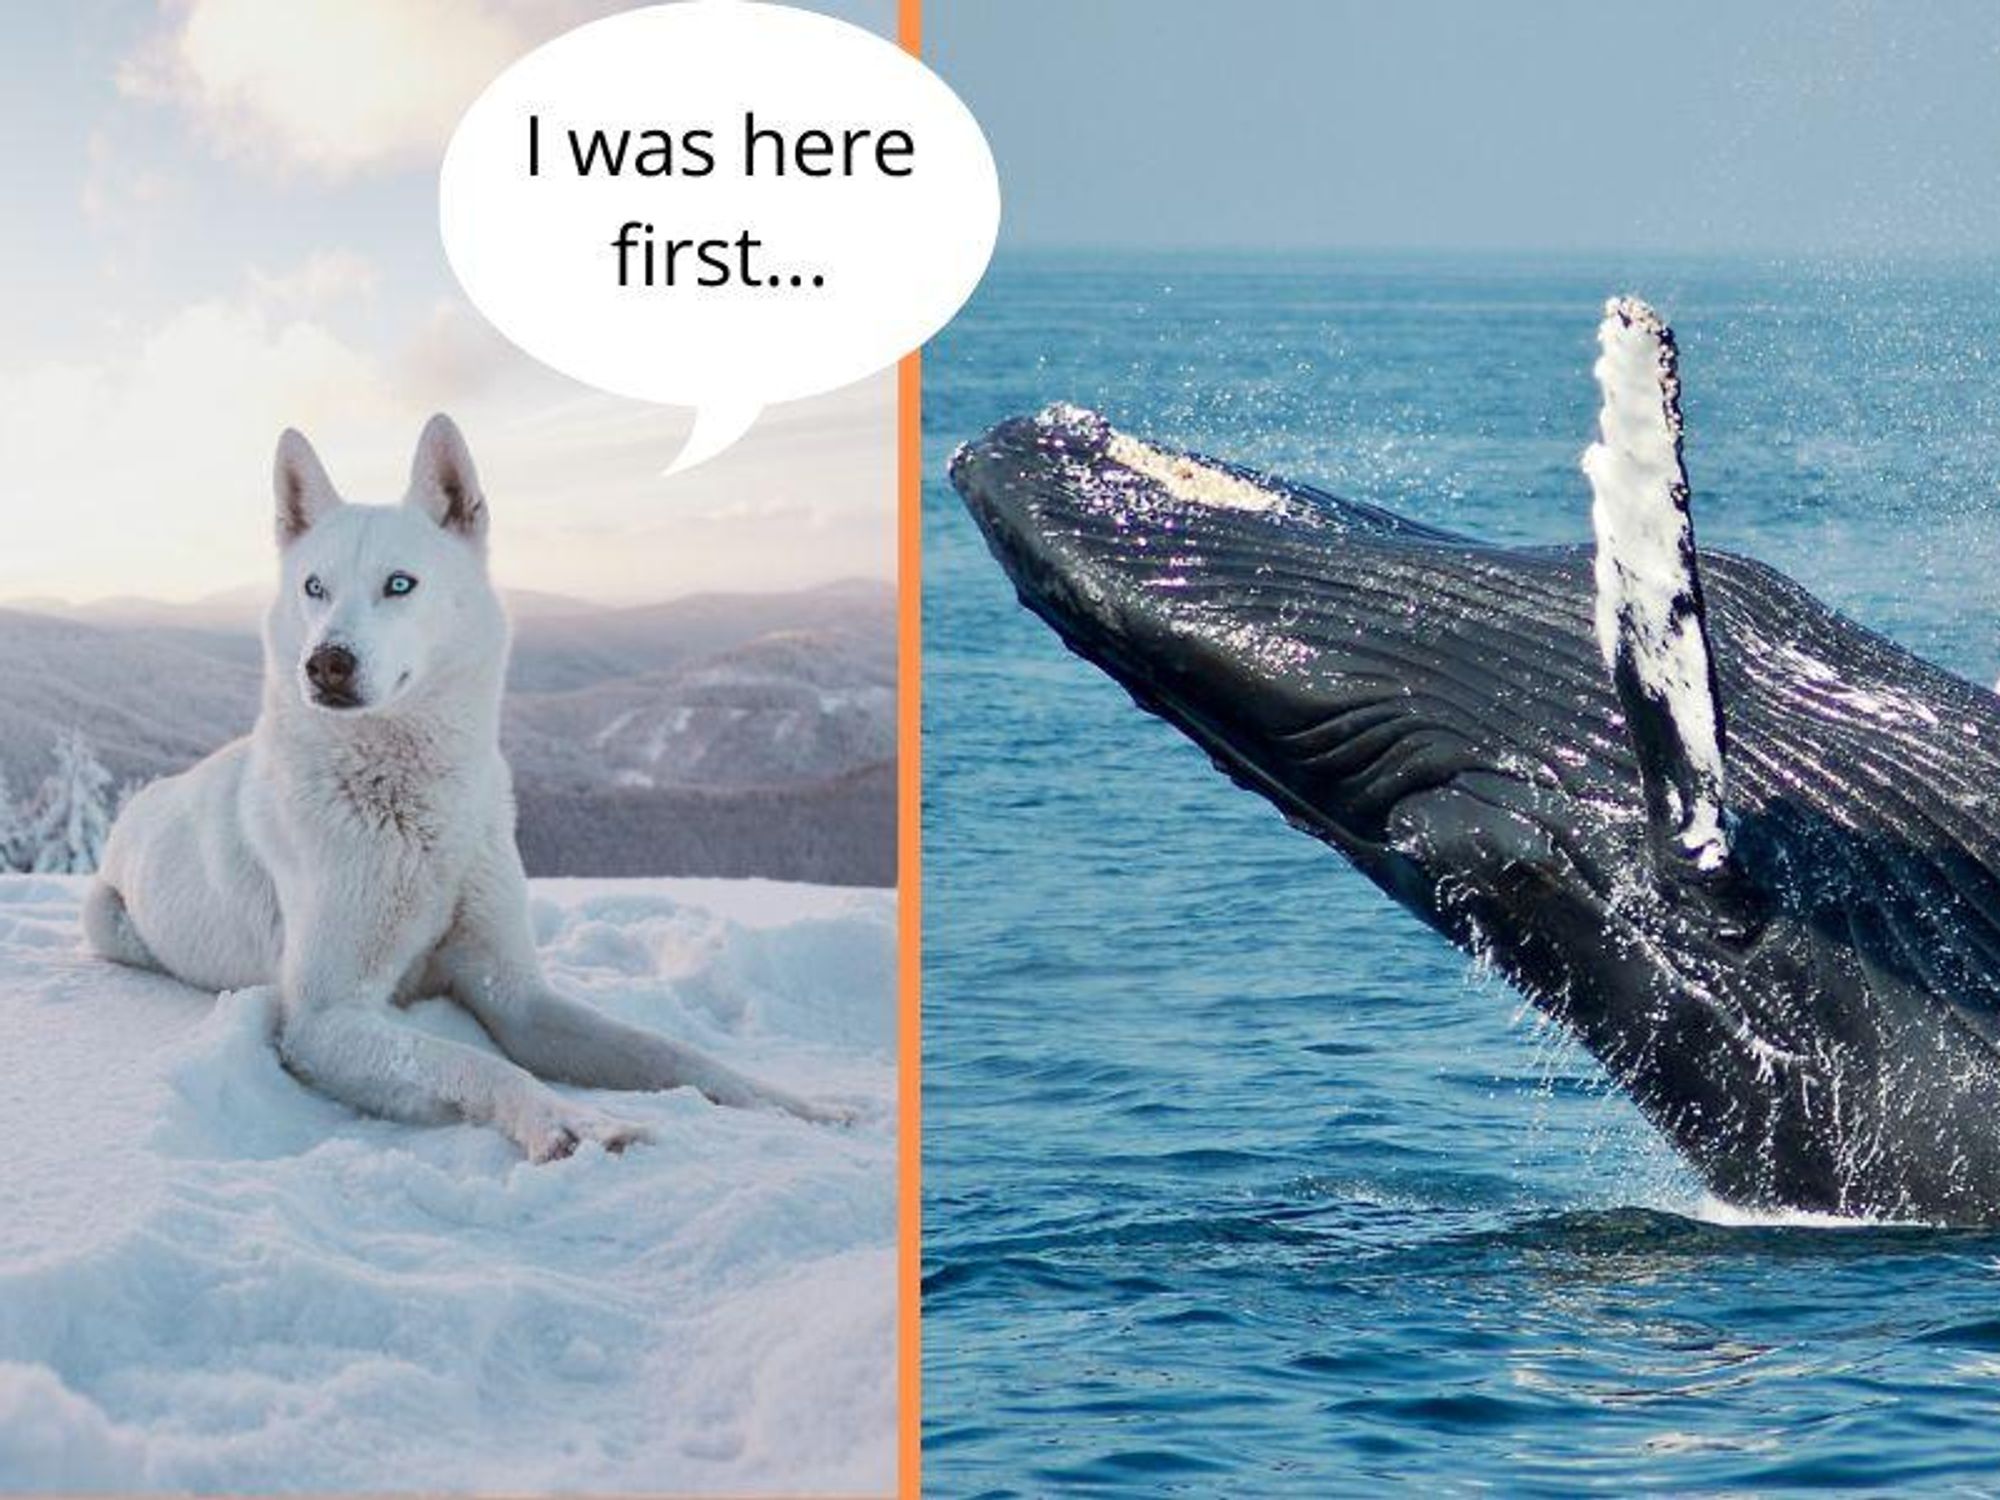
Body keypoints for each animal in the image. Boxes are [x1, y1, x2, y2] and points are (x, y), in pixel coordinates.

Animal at [85, 415, 845, 1160]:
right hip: (109, 924)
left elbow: (666, 1050)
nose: (325, 663)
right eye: (313, 587)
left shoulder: (516, 994)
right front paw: (570, 1122)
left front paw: (793, 1105)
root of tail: (145, 800)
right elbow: (477, 1063)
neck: (414, 809)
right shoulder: (327, 1019)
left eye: (399, 584)